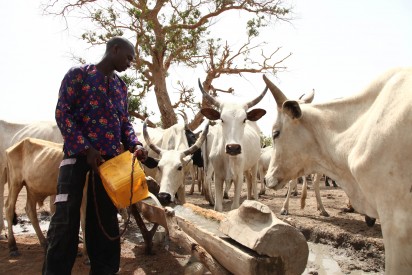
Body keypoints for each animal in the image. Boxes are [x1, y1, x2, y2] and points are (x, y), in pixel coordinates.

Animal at [199, 78, 268, 212]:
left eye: (244, 119)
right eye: (222, 119)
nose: (233, 148)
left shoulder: (238, 177)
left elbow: (235, 206)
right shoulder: (218, 177)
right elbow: (218, 207)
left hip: (255, 164)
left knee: (254, 182)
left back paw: (255, 199)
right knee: (249, 179)